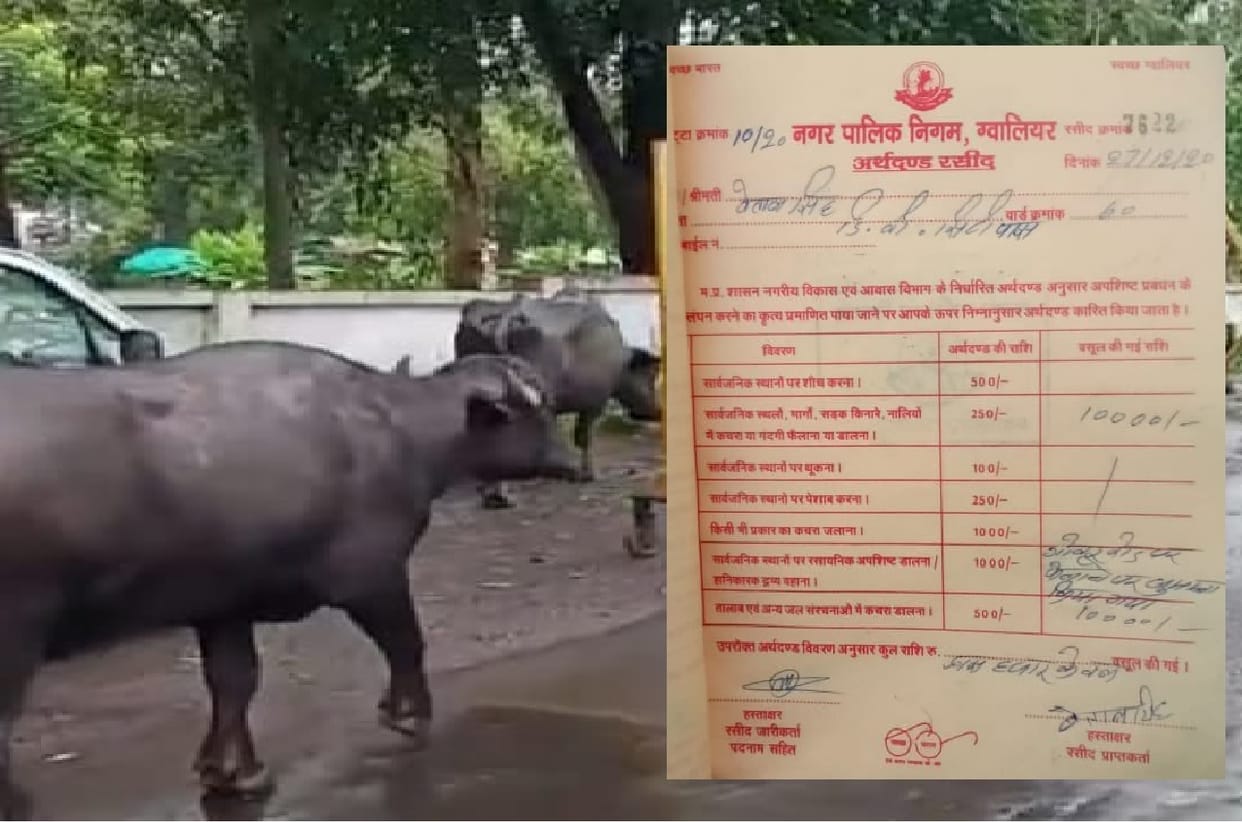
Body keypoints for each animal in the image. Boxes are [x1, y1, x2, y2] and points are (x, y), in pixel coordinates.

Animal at [0, 340, 579, 819]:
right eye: (543, 410)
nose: (575, 462)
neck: (396, 432)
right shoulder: (372, 575)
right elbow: (406, 640)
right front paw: (408, 714)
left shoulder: (224, 601)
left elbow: (234, 679)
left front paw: (233, 772)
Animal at [453, 287, 662, 509]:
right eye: (650, 374)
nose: (656, 411)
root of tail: (510, 312)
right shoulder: (595, 404)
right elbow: (583, 437)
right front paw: (586, 474)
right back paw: (501, 497)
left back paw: (491, 494)